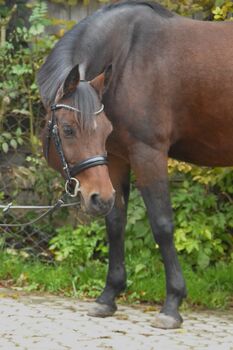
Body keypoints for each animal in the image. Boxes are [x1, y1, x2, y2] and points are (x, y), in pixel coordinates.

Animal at [37, 0, 233, 328]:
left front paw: (172, 304)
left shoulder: (148, 153)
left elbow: (162, 224)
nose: (95, 198)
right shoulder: (115, 158)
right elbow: (115, 222)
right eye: (68, 129)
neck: (127, 56)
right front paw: (108, 296)